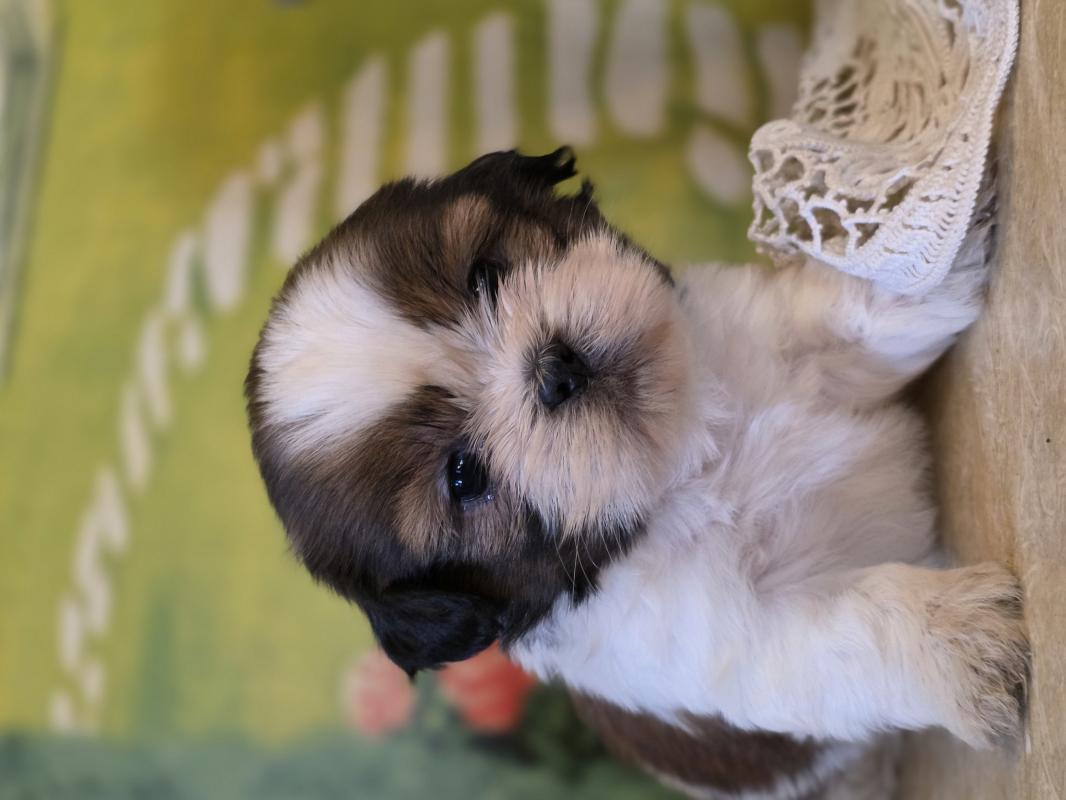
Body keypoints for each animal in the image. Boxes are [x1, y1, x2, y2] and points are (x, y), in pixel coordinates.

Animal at [245, 148, 1028, 799]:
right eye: (464, 477)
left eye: (486, 275)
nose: (554, 367)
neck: (688, 457)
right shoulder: (729, 637)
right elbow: (849, 627)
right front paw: (961, 640)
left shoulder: (773, 335)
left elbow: (845, 317)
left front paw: (918, 231)